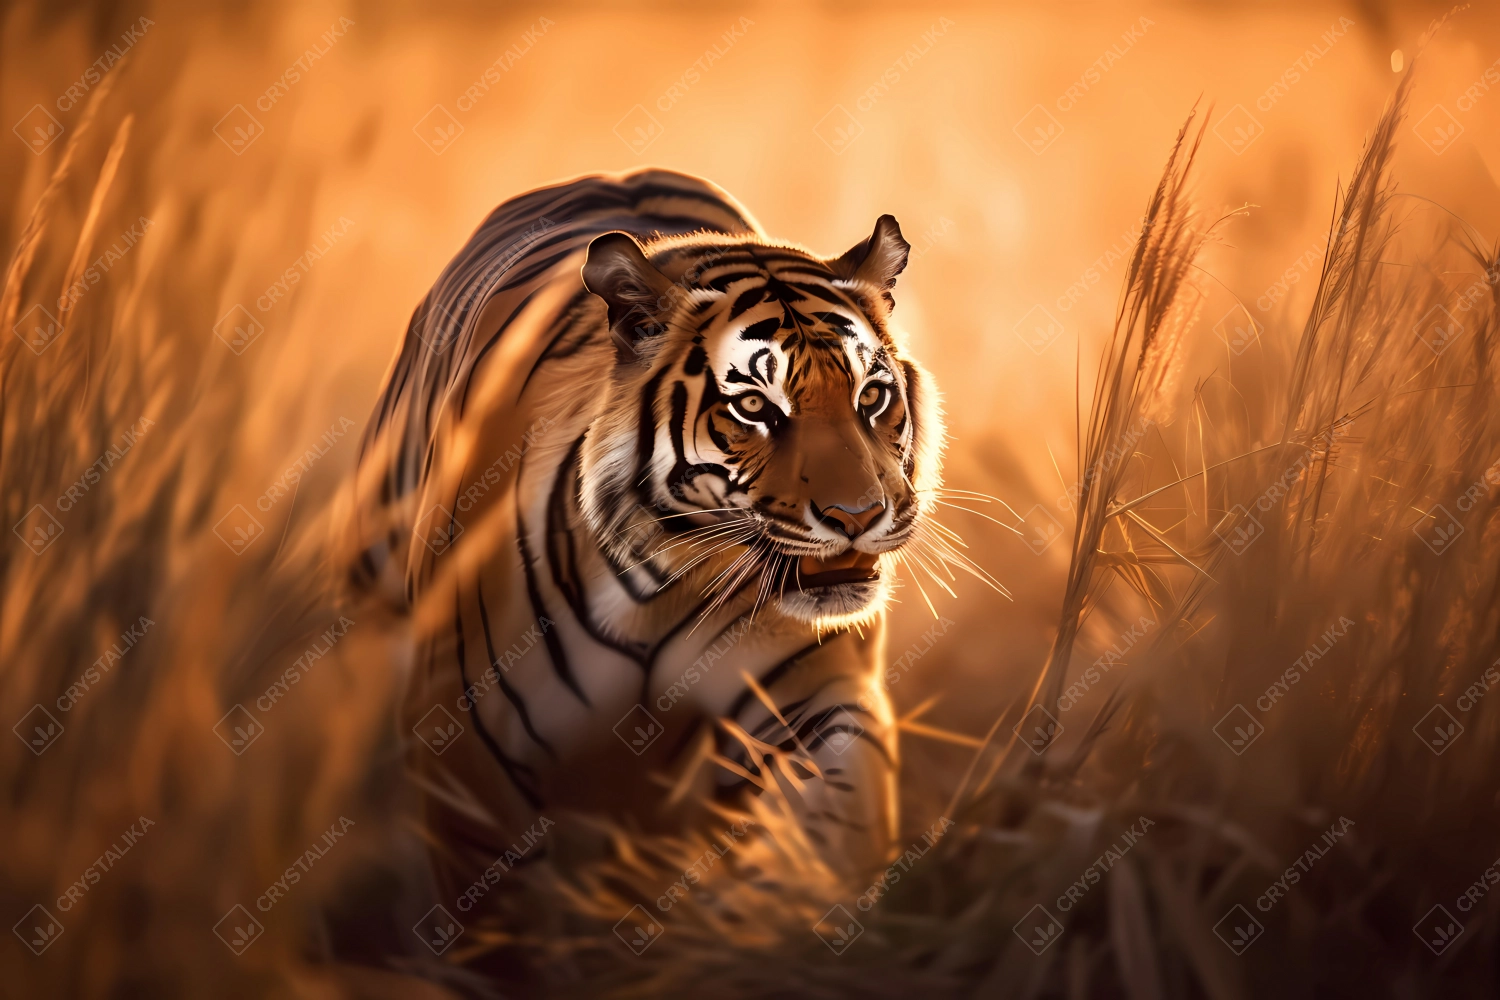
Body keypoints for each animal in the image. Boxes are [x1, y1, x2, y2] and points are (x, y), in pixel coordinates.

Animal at [345, 167, 942, 905]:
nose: (858, 517)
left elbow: (844, 826)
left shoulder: (822, 693)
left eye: (871, 397)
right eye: (754, 406)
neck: (661, 588)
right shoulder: (463, 751)